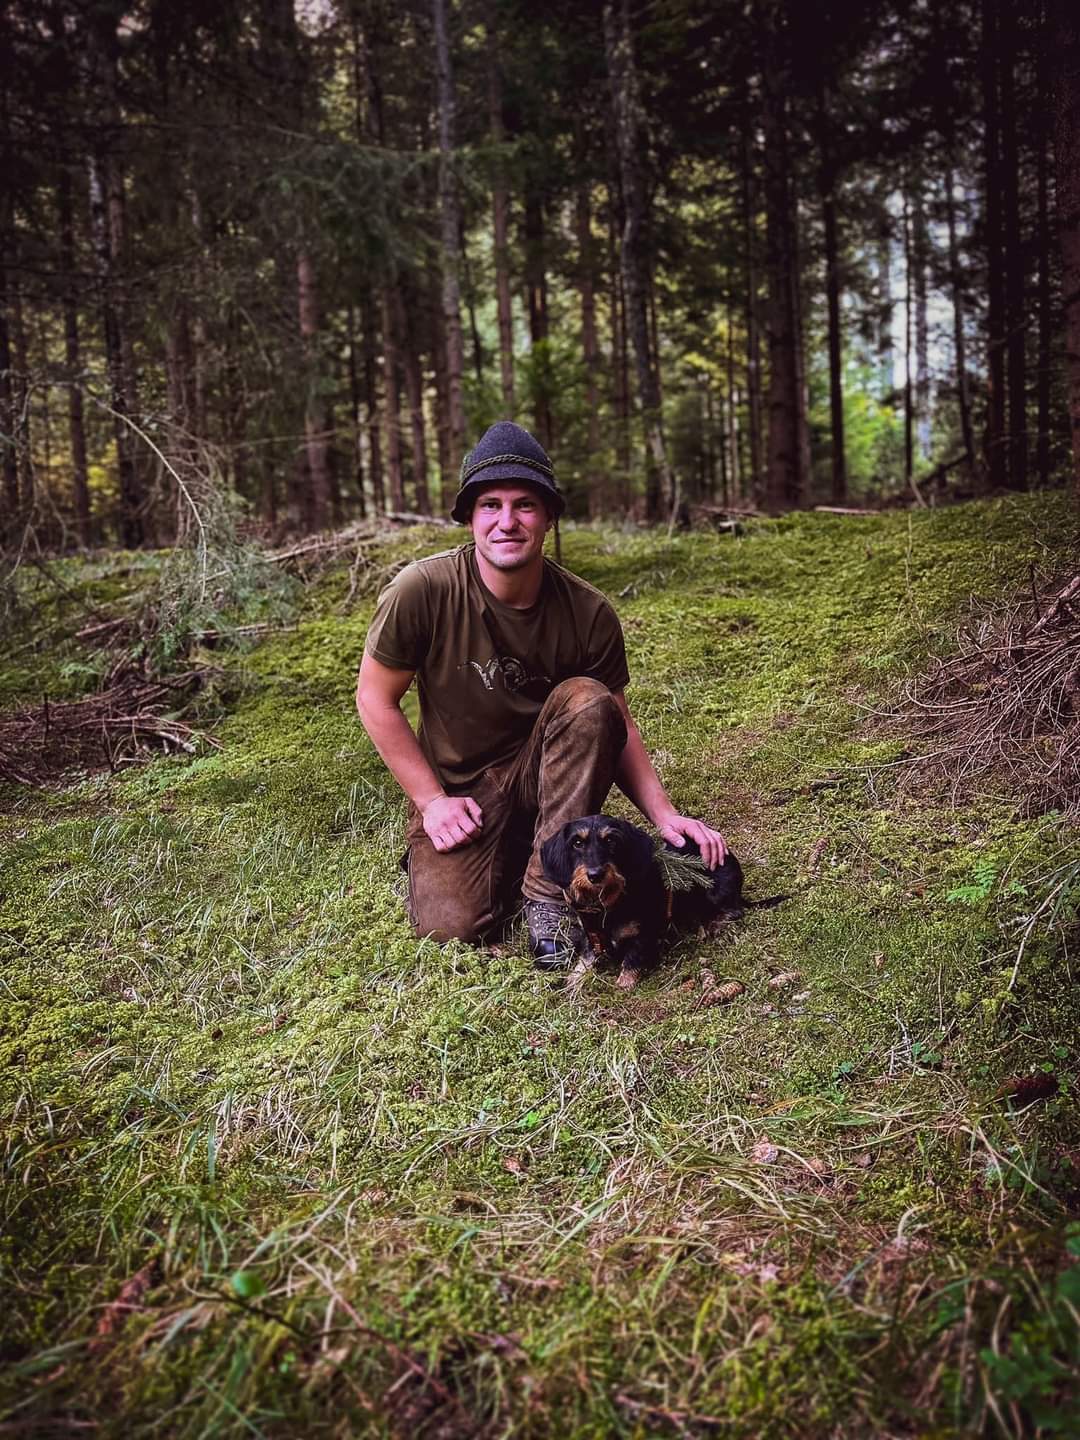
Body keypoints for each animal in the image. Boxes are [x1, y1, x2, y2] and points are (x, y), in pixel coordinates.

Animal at [539, 815, 784, 988]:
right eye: (577, 843)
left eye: (611, 840)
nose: (595, 875)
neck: (608, 906)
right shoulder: (591, 935)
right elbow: (587, 957)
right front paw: (573, 980)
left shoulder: (644, 934)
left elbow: (632, 960)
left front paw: (623, 985)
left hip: (715, 891)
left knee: (734, 910)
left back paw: (712, 926)